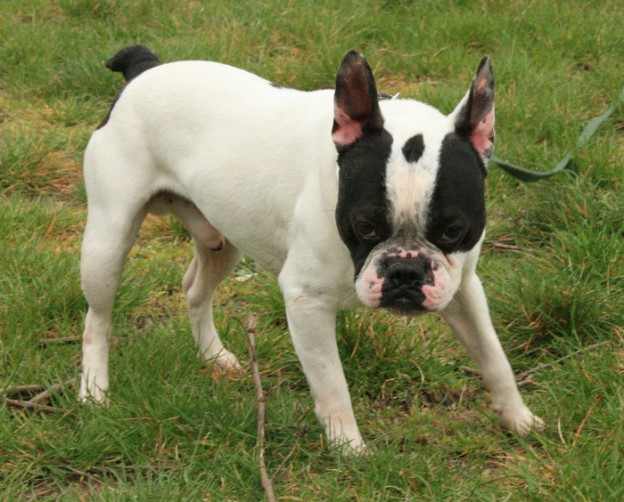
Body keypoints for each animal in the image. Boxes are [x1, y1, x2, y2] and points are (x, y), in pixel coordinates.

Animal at [79, 45, 544, 450]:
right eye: (364, 224)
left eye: (453, 230)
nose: (405, 271)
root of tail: (145, 69)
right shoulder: (307, 303)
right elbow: (333, 385)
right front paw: (349, 450)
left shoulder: (463, 288)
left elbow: (494, 356)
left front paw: (520, 419)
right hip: (108, 240)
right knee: (97, 320)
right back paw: (94, 391)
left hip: (220, 238)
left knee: (195, 288)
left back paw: (214, 355)